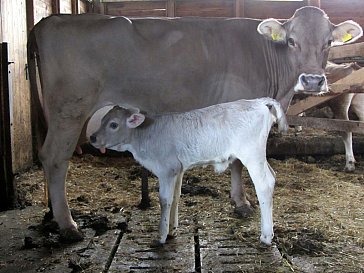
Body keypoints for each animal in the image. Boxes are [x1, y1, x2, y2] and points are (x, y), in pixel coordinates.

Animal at [89, 98, 288, 244]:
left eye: (113, 124)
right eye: (102, 120)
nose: (92, 137)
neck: (146, 136)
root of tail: (259, 101)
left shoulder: (166, 169)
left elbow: (164, 200)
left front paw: (161, 236)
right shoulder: (178, 169)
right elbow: (175, 197)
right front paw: (171, 230)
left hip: (252, 155)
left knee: (264, 185)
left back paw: (266, 236)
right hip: (259, 157)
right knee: (272, 176)